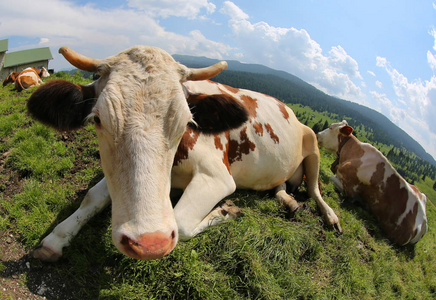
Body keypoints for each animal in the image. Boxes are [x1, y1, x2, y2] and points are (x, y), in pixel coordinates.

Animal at [27, 45, 342, 262]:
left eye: (186, 122)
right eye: (97, 119)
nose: (148, 243)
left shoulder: (218, 176)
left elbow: (180, 222)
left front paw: (226, 211)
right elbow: (92, 196)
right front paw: (56, 238)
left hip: (313, 143)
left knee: (314, 189)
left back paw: (330, 217)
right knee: (281, 186)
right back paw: (288, 201)